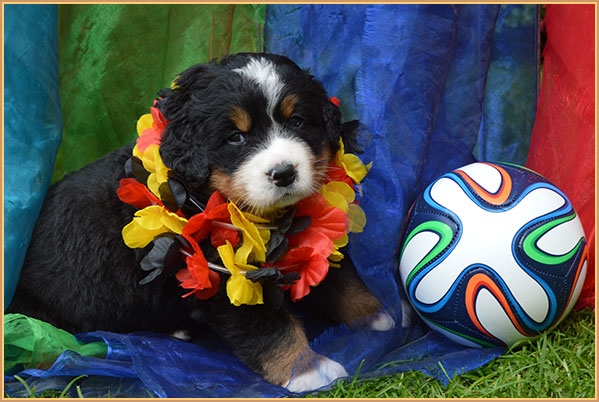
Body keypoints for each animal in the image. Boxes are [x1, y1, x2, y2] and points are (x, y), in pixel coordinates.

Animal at [7, 53, 394, 392]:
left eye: (297, 122)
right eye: (235, 137)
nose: (284, 172)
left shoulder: (306, 236)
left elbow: (340, 279)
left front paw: (380, 315)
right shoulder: (224, 276)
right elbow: (270, 329)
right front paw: (308, 370)